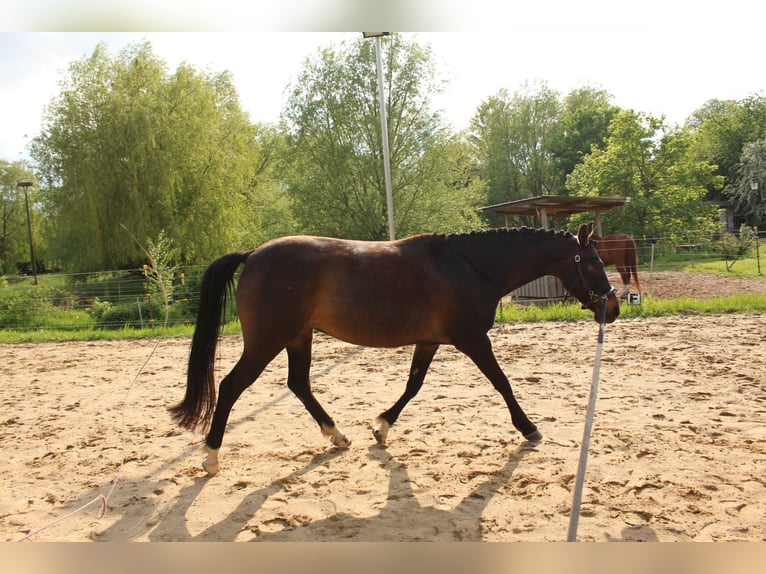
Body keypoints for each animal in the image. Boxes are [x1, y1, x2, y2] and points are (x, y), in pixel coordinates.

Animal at [171, 223, 620, 474]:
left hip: (298, 337)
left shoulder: (430, 340)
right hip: (267, 341)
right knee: (231, 386)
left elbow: (413, 386)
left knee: (299, 384)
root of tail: (253, 254)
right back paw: (211, 456)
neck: (470, 267)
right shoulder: (473, 339)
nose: (613, 308)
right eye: (594, 263)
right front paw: (529, 428)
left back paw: (337, 435)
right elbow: (503, 383)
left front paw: (381, 426)